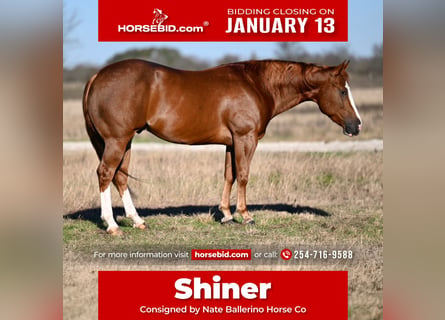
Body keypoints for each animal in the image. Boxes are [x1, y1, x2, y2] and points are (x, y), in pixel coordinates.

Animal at [82, 59, 360, 235]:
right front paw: (245, 216)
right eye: (342, 91)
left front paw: (226, 214)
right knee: (105, 174)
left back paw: (138, 221)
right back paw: (112, 225)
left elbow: (229, 175)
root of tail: (98, 75)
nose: (356, 125)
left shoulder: (231, 143)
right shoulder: (245, 138)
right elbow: (244, 175)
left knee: (120, 177)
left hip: (126, 141)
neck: (256, 84)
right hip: (117, 140)